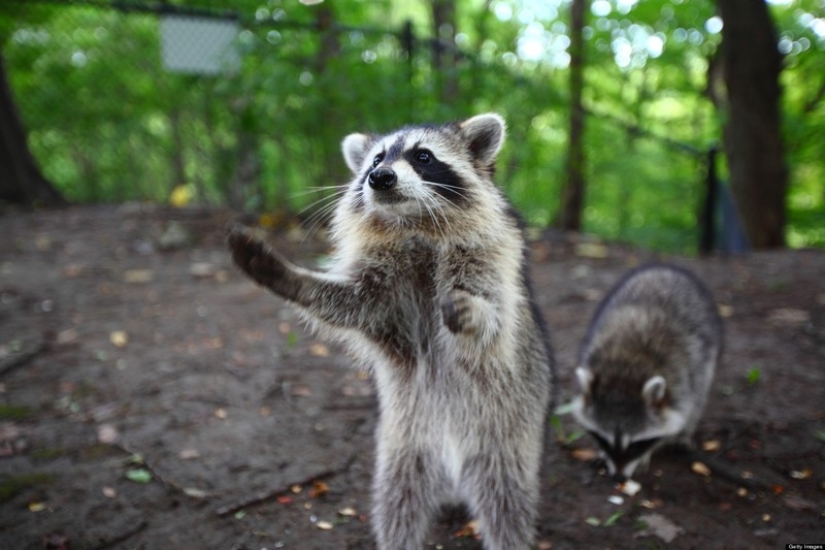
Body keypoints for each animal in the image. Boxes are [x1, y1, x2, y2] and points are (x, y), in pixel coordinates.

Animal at [227, 113, 555, 550]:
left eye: (423, 156)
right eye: (376, 159)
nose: (379, 177)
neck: (414, 225)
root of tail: (452, 473)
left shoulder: (492, 265)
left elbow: (496, 325)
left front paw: (474, 313)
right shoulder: (385, 297)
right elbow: (346, 304)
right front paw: (289, 277)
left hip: (504, 443)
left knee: (507, 507)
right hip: (403, 449)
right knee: (398, 505)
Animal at [571, 264, 722, 481]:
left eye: (635, 445)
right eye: (604, 440)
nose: (618, 477)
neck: (625, 369)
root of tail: (664, 268)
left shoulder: (681, 382)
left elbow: (681, 412)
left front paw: (648, 453)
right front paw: (602, 453)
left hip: (707, 346)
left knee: (700, 392)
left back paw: (686, 432)